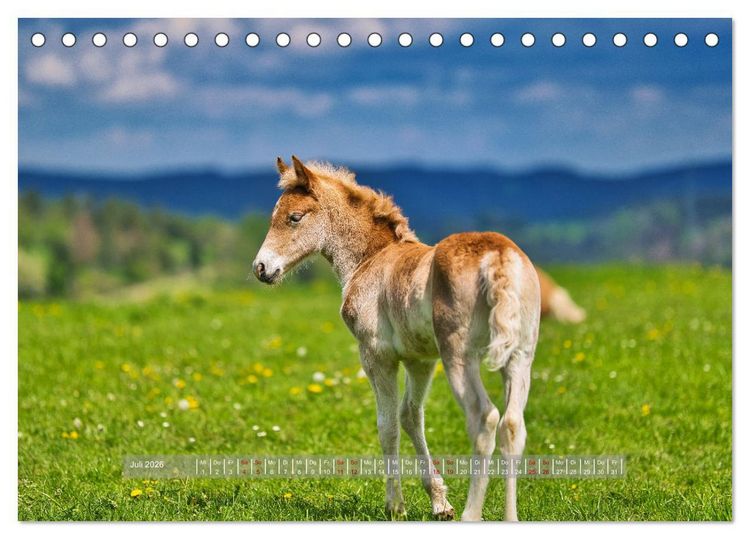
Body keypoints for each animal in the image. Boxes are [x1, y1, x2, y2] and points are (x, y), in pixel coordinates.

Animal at [252, 156, 573, 521]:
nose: (261, 268)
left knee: (484, 418)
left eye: (294, 217)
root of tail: (497, 258)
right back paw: (510, 517)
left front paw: (395, 505)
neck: (370, 259)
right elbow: (411, 416)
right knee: (513, 424)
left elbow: (388, 424)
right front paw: (439, 502)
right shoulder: (421, 361)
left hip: (459, 357)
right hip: (520, 356)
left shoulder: (376, 357)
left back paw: (471, 514)